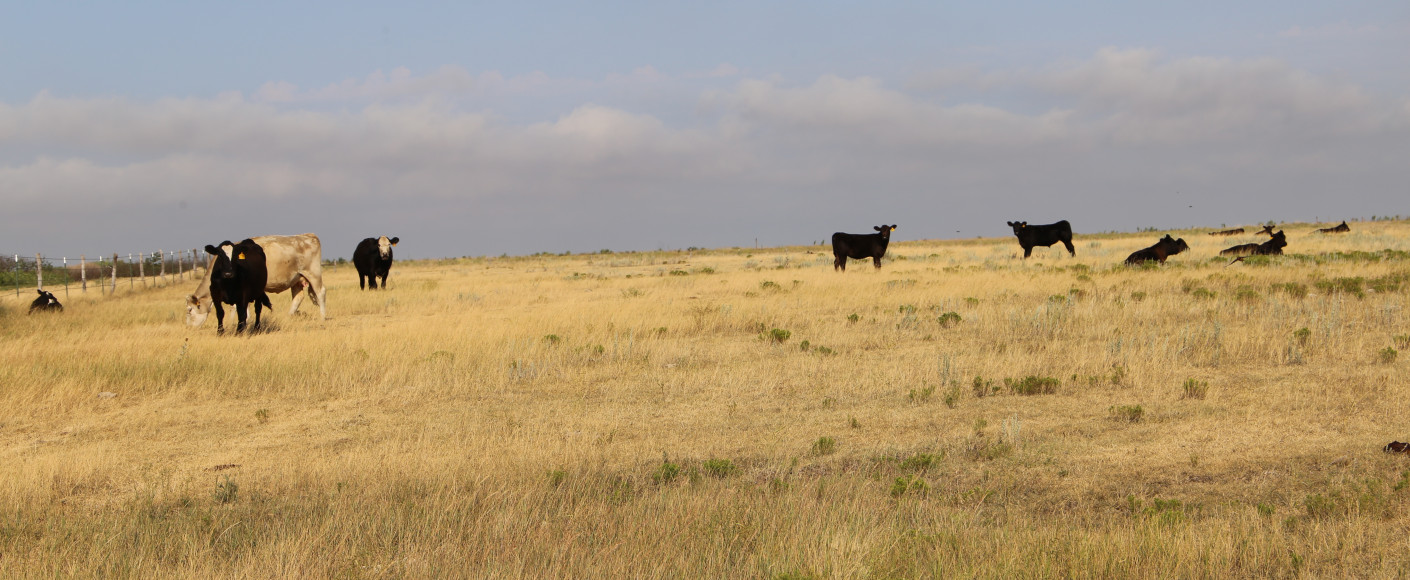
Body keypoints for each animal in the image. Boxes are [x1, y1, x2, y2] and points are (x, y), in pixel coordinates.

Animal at [187, 234, 329, 328]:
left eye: (189, 310)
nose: (189, 327)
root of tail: (308, 235)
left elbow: (238, 308)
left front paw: (236, 323)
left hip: (313, 274)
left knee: (320, 292)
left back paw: (322, 317)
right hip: (297, 279)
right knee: (298, 297)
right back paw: (288, 316)